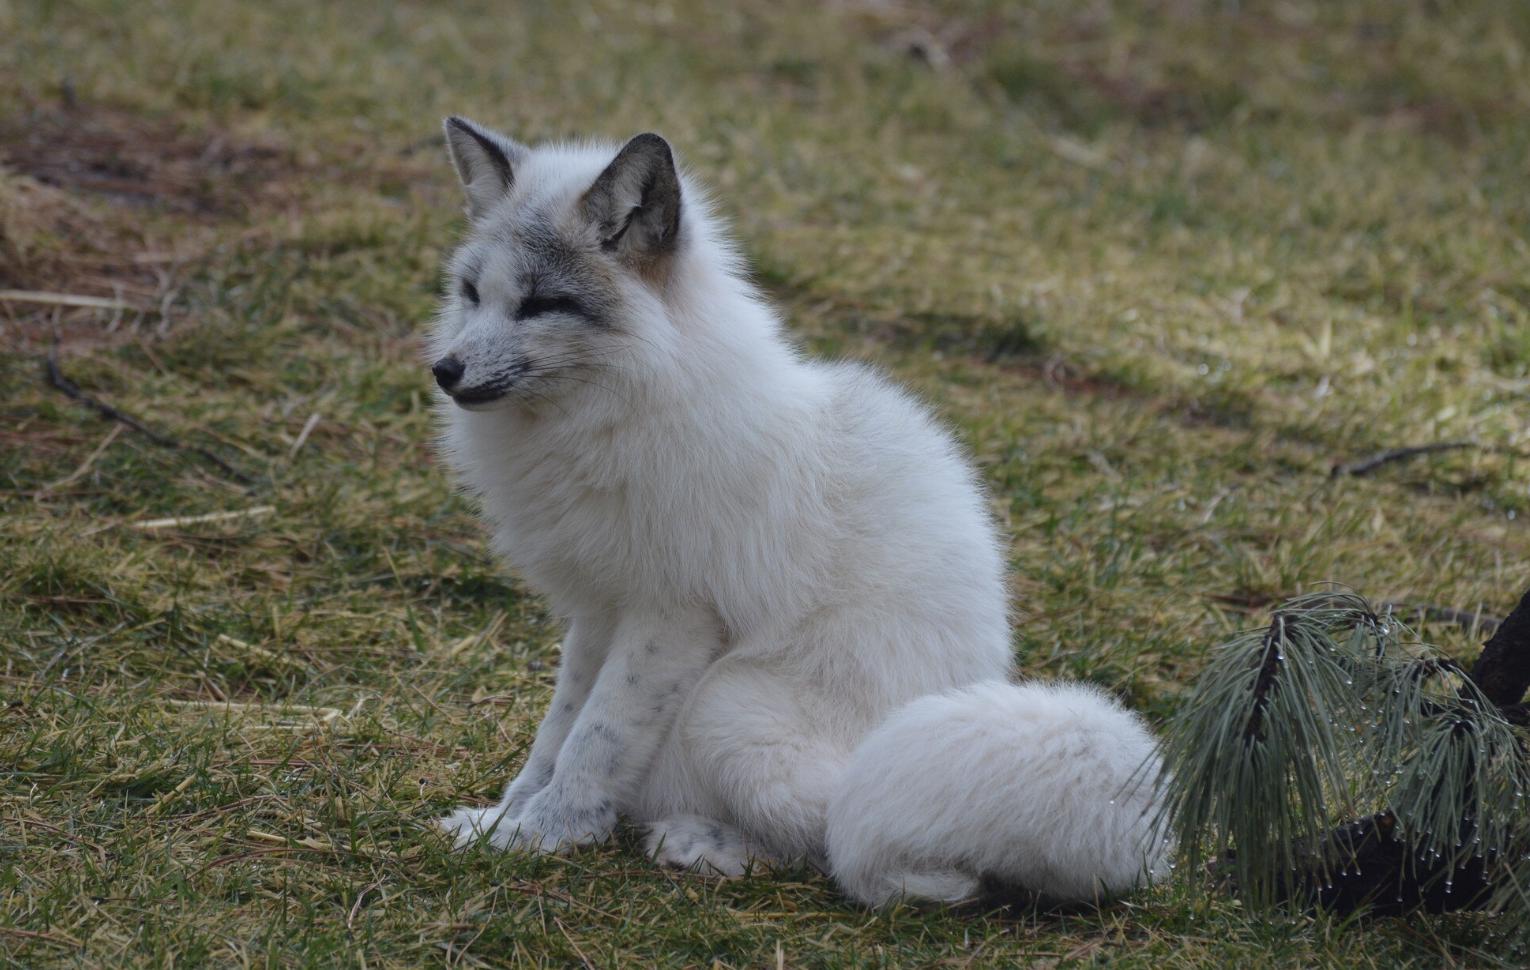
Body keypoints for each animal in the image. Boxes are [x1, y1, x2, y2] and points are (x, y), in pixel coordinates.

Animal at [429, 115, 1168, 907]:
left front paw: (542, 836)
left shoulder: (672, 614)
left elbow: (596, 741)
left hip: (725, 705)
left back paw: (705, 843)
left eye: (541, 303)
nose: (444, 370)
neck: (622, 411)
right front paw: (505, 816)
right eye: (472, 293)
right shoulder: (598, 610)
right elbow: (557, 729)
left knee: (863, 850)